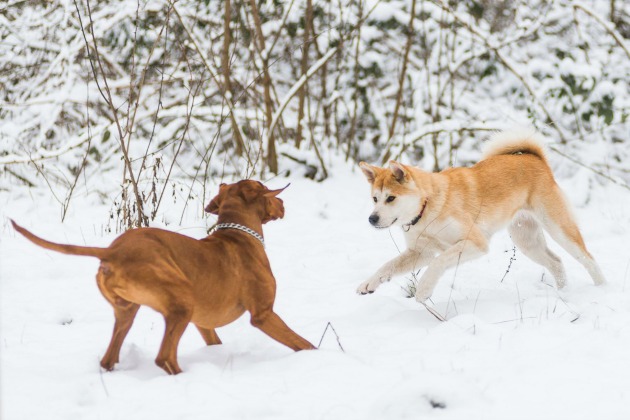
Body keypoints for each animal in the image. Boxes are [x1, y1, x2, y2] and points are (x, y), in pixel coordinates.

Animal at [9, 180, 316, 374]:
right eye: (270, 193)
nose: (283, 202)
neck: (238, 233)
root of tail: (112, 251)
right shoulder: (263, 315)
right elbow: (303, 343)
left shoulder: (204, 324)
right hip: (181, 302)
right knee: (164, 358)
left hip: (128, 311)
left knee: (109, 359)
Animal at [358, 129, 604, 302]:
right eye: (375, 199)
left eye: (391, 198)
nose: (372, 219)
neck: (428, 206)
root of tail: (535, 158)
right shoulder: (420, 252)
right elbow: (388, 266)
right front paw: (369, 283)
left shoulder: (474, 243)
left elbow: (438, 262)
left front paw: (424, 289)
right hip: (527, 241)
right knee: (556, 263)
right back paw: (563, 293)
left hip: (559, 229)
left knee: (589, 259)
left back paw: (602, 289)